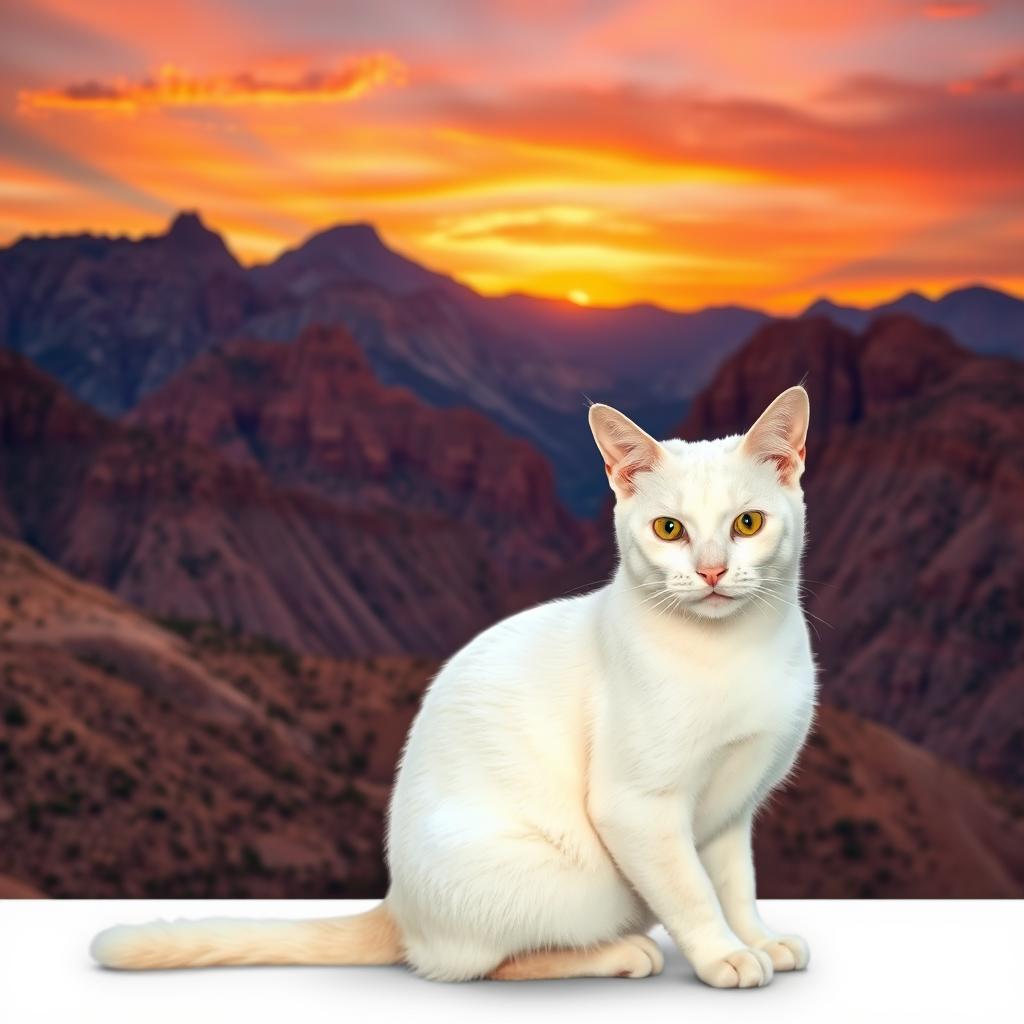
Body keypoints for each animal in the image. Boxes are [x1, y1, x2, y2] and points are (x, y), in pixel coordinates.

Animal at [92, 385, 819, 991]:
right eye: (670, 529)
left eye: (748, 523)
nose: (713, 571)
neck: (735, 654)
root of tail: (397, 904)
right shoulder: (640, 807)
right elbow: (694, 895)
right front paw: (724, 957)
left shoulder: (731, 812)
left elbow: (736, 887)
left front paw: (758, 941)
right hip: (580, 884)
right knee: (481, 964)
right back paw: (620, 955)